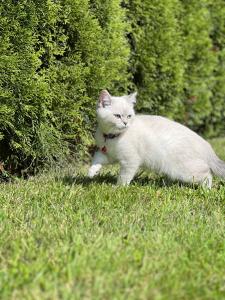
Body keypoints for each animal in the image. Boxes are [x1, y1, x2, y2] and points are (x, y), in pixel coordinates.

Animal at [88, 88, 225, 188]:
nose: (126, 123)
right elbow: (97, 158)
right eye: (117, 116)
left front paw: (118, 188)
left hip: (185, 170)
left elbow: (124, 177)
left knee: (208, 173)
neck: (112, 137)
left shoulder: (130, 161)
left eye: (129, 116)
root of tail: (205, 145)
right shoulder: (108, 154)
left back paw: (206, 190)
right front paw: (91, 172)